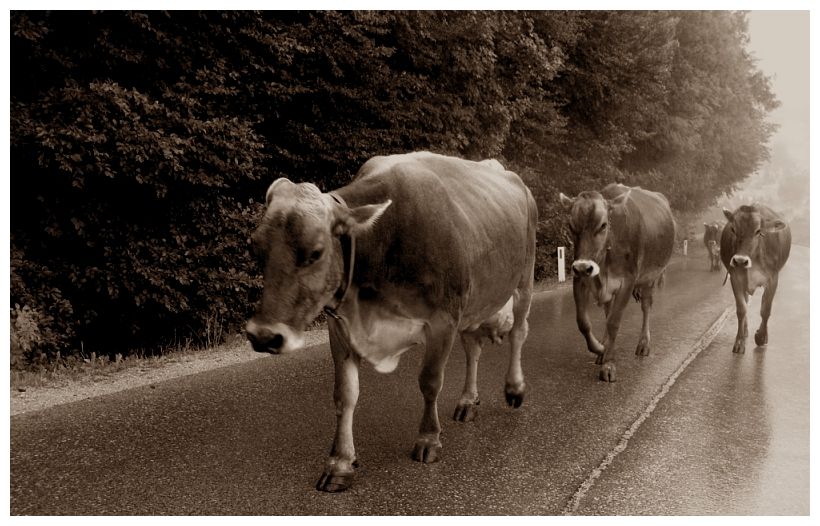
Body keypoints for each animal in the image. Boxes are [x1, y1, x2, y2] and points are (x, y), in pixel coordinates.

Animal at [245, 152, 540, 496]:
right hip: (476, 299)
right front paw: (339, 463)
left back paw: (514, 388)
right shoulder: (341, 326)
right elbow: (344, 394)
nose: (264, 336)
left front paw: (428, 439)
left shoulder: (443, 319)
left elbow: (429, 381)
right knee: (473, 348)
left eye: (315, 252)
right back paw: (468, 401)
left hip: (523, 279)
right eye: (256, 248)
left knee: (518, 333)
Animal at [560, 186, 676, 384]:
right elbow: (583, 322)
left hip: (650, 277)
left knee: (646, 306)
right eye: (571, 226)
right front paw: (600, 348)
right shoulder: (580, 278)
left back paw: (643, 344)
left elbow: (614, 322)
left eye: (603, 225)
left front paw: (609, 365)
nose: (583, 267)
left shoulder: (627, 282)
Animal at [720, 205, 792, 354]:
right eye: (733, 229)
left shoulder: (772, 280)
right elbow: (741, 309)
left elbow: (766, 310)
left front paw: (761, 336)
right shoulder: (735, 278)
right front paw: (739, 342)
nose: (740, 260)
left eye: (758, 231)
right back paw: (745, 330)